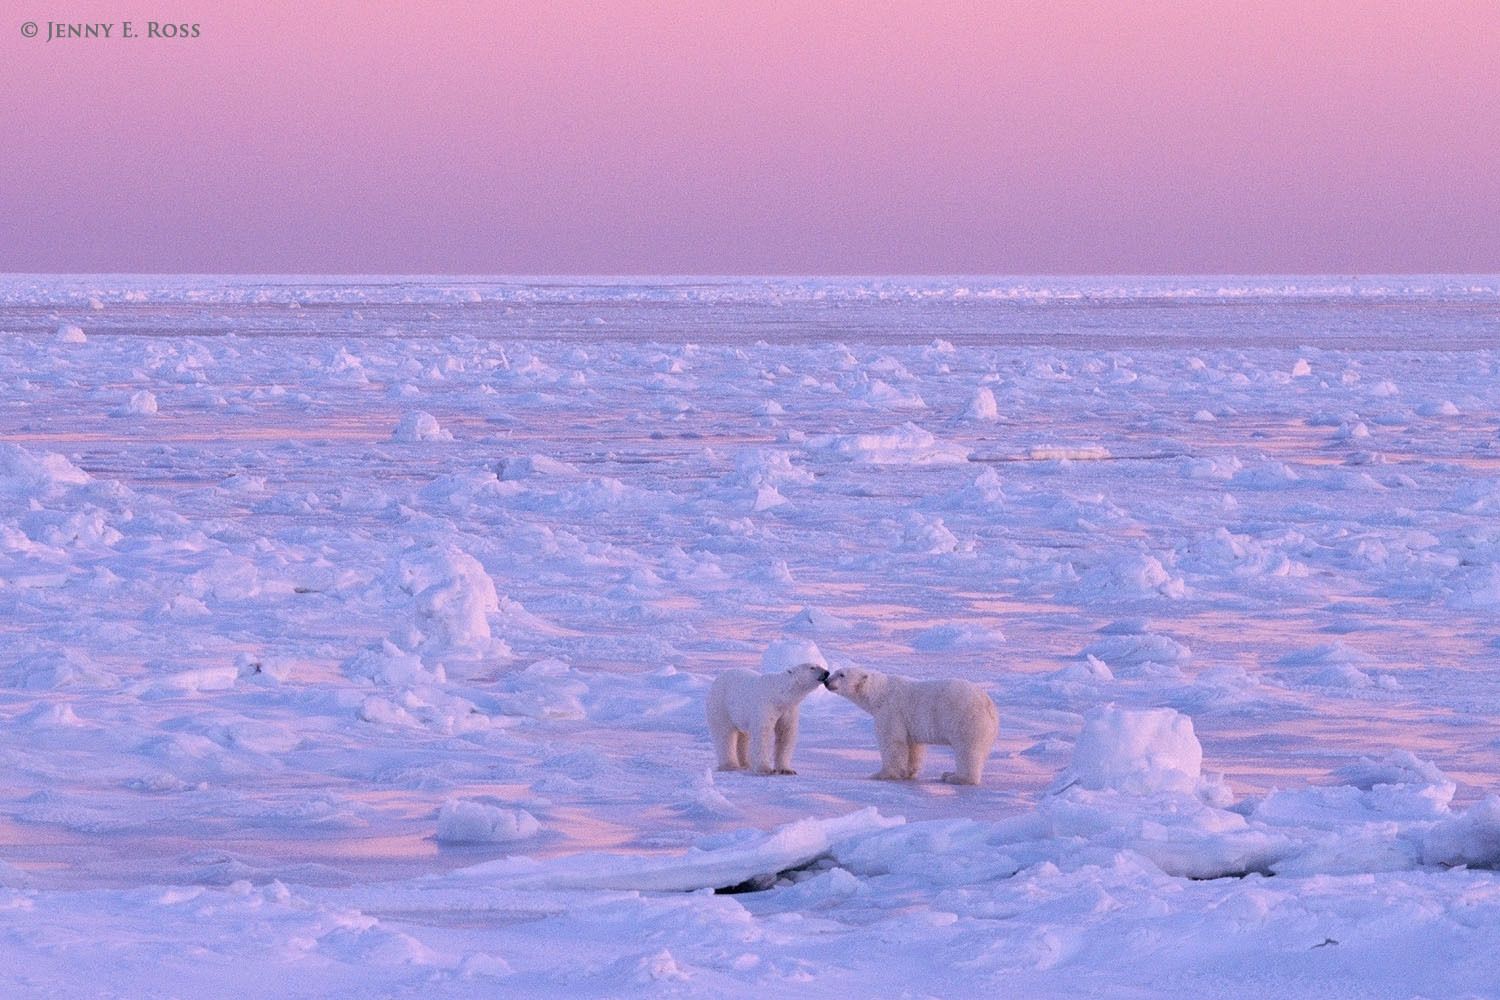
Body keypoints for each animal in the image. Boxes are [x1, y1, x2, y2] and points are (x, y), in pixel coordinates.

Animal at [824, 667, 998, 785]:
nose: (826, 681)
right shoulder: (909, 721)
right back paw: (949, 773)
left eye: (841, 674)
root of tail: (989, 705)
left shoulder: (891, 711)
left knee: (967, 750)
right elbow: (913, 746)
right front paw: (909, 772)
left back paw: (955, 777)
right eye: (835, 672)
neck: (879, 693)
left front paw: (881, 774)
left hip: (966, 719)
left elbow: (892, 742)